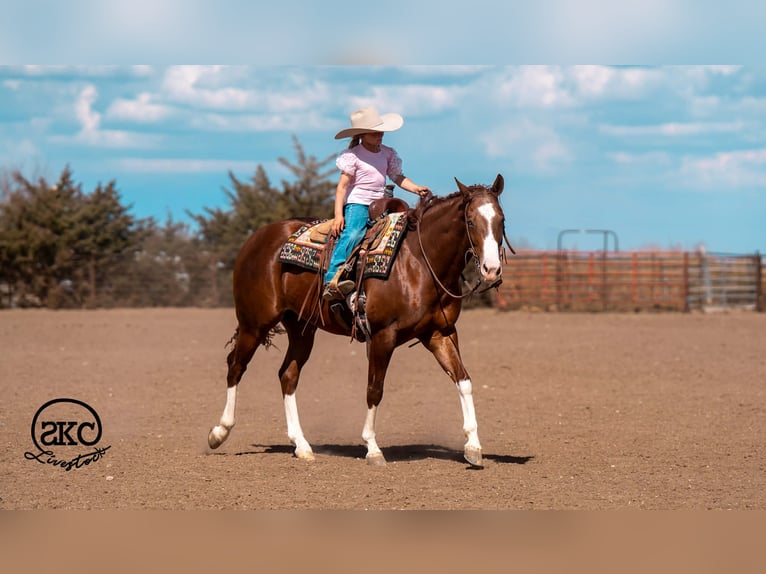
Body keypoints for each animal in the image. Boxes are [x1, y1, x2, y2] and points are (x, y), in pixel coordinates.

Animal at [208, 174, 508, 467]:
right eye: (471, 221)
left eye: (501, 220)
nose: (491, 270)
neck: (420, 262)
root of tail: (256, 238)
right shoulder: (382, 335)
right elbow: (374, 389)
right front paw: (372, 449)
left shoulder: (440, 333)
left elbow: (463, 380)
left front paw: (473, 447)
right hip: (255, 323)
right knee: (235, 366)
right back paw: (219, 433)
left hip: (301, 328)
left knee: (287, 375)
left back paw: (301, 445)